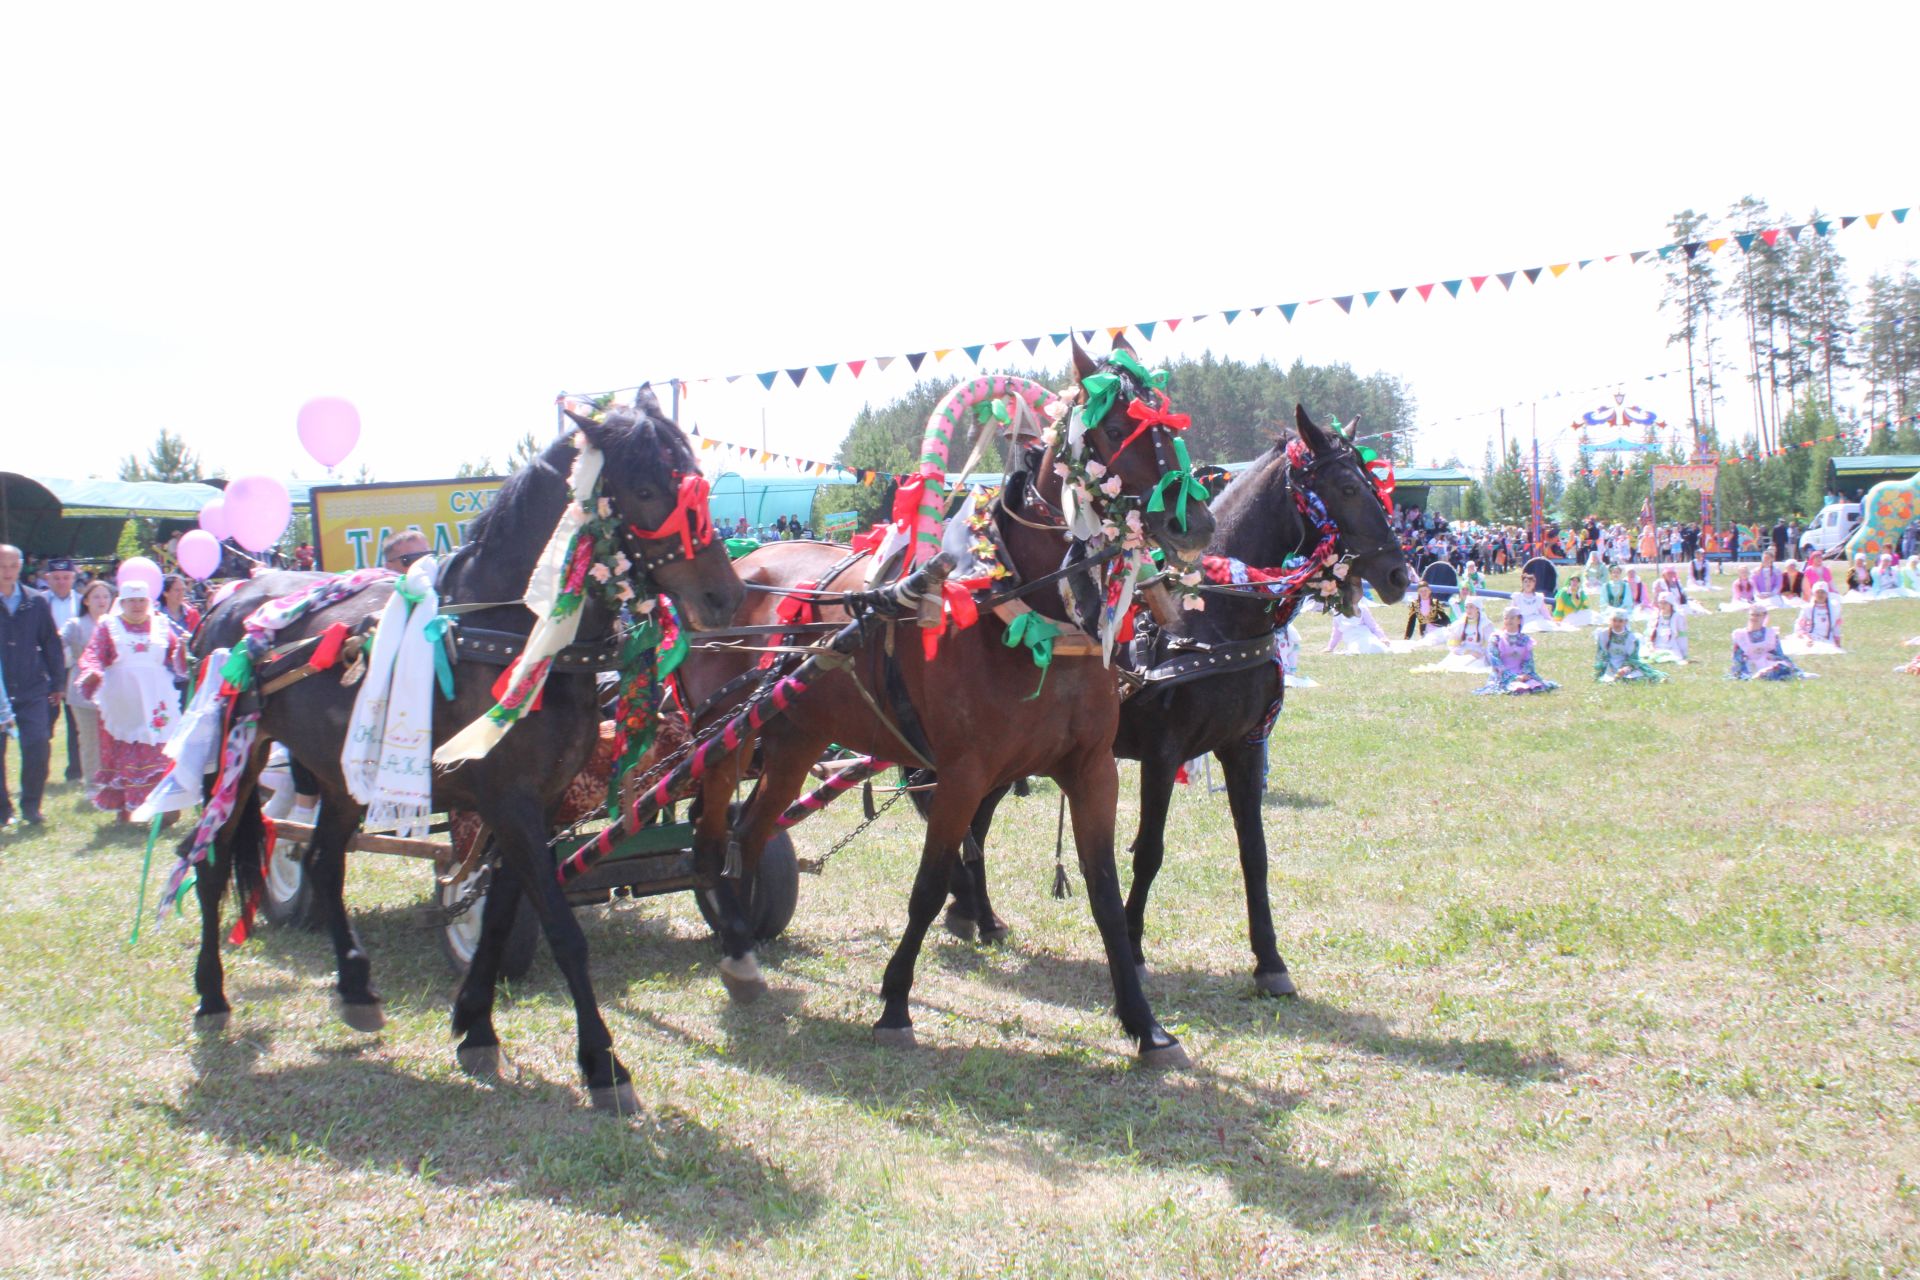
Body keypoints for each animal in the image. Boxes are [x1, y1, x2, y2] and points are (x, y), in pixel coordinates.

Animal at [185, 395, 741, 1113]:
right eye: (646, 489)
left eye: (696, 478)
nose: (724, 597)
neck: (513, 636)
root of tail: (229, 603)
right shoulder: (509, 802)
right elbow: (560, 929)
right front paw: (602, 1063)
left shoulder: (538, 805)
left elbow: (502, 913)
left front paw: (476, 1024)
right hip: (231, 762)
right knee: (211, 863)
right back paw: (212, 996)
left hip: (341, 777)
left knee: (325, 863)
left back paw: (356, 989)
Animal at [675, 339, 1213, 1074]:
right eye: (1110, 428)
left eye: (1169, 422)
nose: (1196, 521)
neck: (1021, 608)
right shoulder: (959, 775)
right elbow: (929, 885)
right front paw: (896, 1003)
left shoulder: (1091, 769)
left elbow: (1103, 891)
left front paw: (1144, 1023)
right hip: (726, 739)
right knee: (709, 837)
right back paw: (733, 943)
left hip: (795, 739)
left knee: (749, 834)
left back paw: (745, 945)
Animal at [944, 408, 1413, 990]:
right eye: (1347, 488)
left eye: (1375, 485)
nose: (1399, 575)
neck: (1212, 616)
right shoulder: (1162, 755)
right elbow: (1149, 851)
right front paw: (1132, 946)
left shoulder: (1244, 748)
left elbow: (1254, 851)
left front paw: (1270, 961)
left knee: (977, 825)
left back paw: (979, 917)